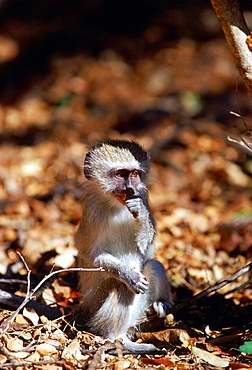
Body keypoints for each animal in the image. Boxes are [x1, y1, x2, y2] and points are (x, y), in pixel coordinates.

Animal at [75, 139, 173, 350]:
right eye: (120, 174)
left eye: (134, 174)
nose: (130, 189)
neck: (115, 205)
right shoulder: (93, 213)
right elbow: (89, 253)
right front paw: (129, 275)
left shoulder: (142, 196)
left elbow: (145, 245)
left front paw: (140, 213)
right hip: (95, 307)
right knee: (120, 286)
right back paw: (118, 339)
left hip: (140, 310)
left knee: (154, 264)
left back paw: (161, 304)